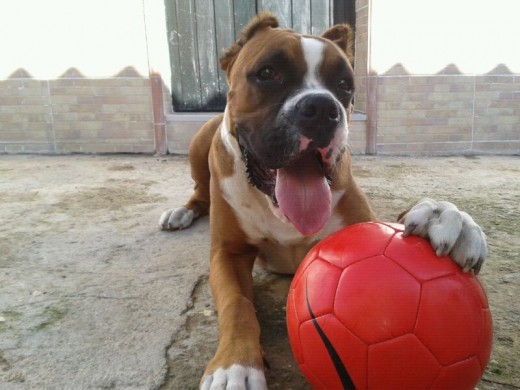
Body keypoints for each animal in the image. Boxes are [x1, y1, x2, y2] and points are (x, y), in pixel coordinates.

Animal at [159, 12, 488, 390]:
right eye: (268, 73)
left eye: (344, 85)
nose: (321, 107)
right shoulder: (228, 255)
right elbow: (236, 304)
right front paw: (235, 365)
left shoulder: (364, 226)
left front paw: (445, 218)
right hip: (200, 144)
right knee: (199, 192)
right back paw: (180, 213)